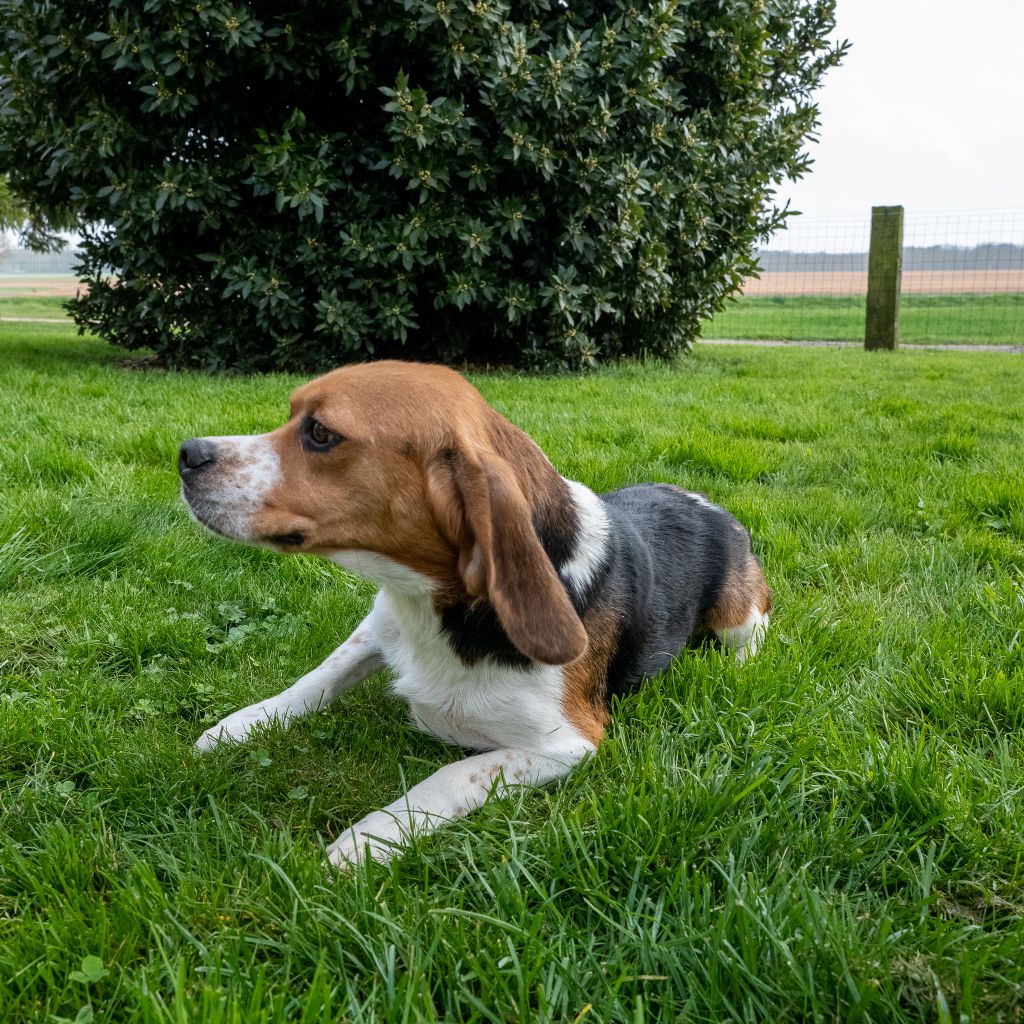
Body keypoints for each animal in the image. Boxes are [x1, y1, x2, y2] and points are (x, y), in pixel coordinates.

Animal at [178, 360, 770, 864]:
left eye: (320, 433)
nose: (186, 453)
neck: (426, 604)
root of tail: (705, 500)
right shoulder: (377, 626)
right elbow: (318, 677)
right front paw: (239, 725)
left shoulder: (567, 744)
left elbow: (451, 777)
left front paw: (368, 840)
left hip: (738, 616)